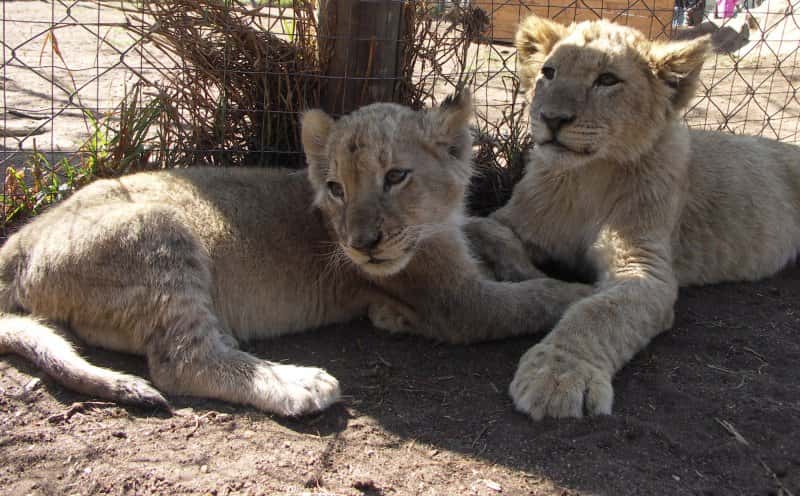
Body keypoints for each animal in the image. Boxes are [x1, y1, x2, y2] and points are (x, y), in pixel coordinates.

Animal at [0, 93, 591, 416]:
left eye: (396, 176)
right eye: (336, 189)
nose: (361, 245)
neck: (433, 224)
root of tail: (18, 242)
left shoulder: (456, 240)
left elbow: (490, 230)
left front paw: (516, 257)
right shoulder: (454, 301)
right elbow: (533, 299)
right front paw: (584, 292)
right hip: (159, 231)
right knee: (182, 360)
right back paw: (299, 383)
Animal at [467, 16, 800, 420]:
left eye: (607, 79)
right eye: (548, 72)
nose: (551, 118)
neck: (586, 177)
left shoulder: (645, 265)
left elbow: (599, 312)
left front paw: (557, 375)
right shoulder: (511, 220)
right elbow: (482, 227)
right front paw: (531, 276)